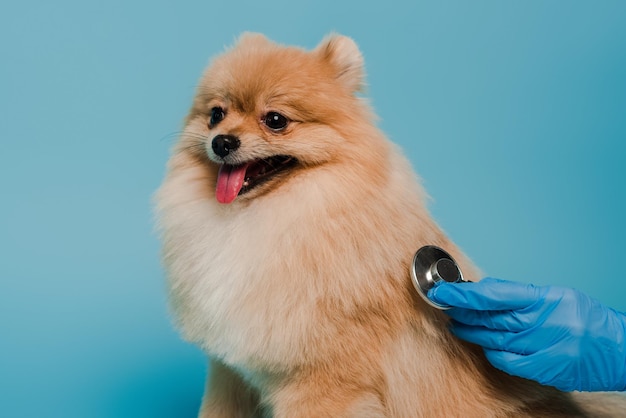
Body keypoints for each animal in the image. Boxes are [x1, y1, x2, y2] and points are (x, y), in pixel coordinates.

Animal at [157, 33, 624, 418]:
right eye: (216, 115)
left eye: (275, 120)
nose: (222, 142)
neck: (267, 218)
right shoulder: (230, 372)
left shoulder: (323, 382)